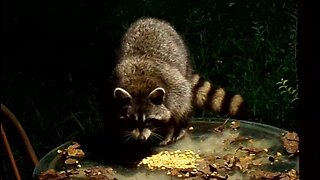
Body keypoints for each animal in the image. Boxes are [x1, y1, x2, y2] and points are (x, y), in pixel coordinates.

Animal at [110, 17, 248, 146]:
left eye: (149, 121)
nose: (141, 139)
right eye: (131, 121)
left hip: (183, 59)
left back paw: (182, 126)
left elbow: (176, 112)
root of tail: (150, 19)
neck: (139, 83)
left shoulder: (173, 86)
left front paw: (170, 131)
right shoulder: (114, 82)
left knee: (185, 104)